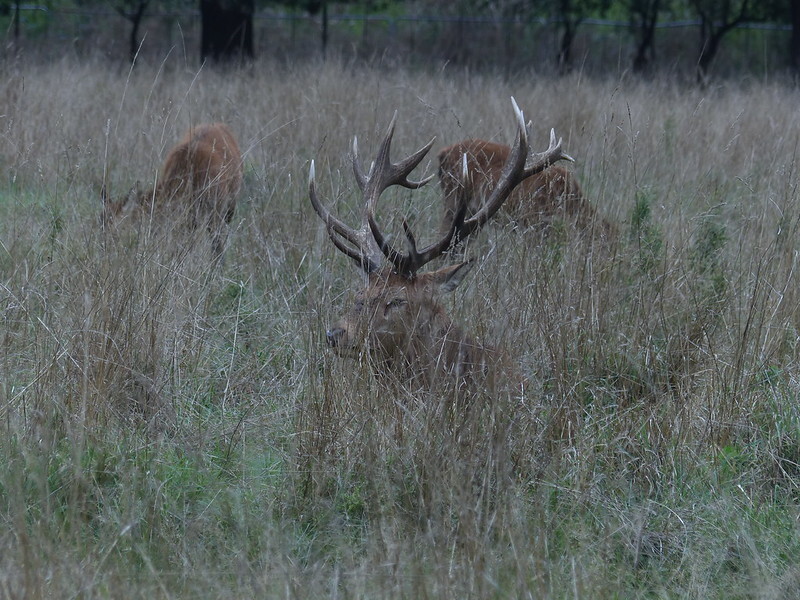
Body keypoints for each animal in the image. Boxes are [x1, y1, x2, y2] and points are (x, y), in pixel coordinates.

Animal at [102, 122, 243, 257]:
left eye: (118, 230)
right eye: (101, 223)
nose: (104, 250)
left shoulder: (215, 212)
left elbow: (216, 248)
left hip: (229, 208)